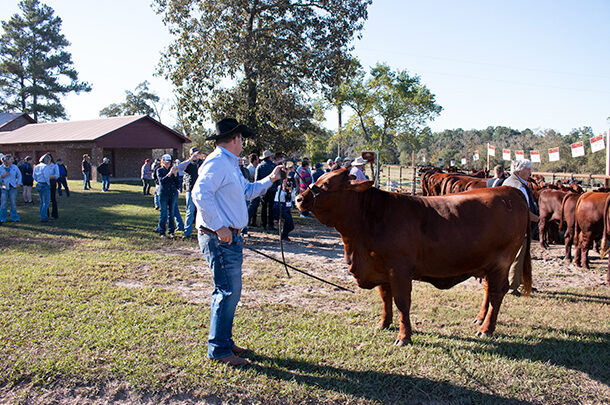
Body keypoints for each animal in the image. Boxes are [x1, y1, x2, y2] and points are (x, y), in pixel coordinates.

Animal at [294, 168, 528, 344]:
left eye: (326, 184)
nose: (298, 198)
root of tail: (510, 191)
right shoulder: (381, 269)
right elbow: (385, 298)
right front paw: (383, 324)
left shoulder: (399, 270)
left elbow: (401, 302)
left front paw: (404, 336)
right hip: (487, 265)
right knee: (489, 290)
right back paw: (480, 319)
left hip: (501, 263)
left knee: (497, 293)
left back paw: (487, 329)